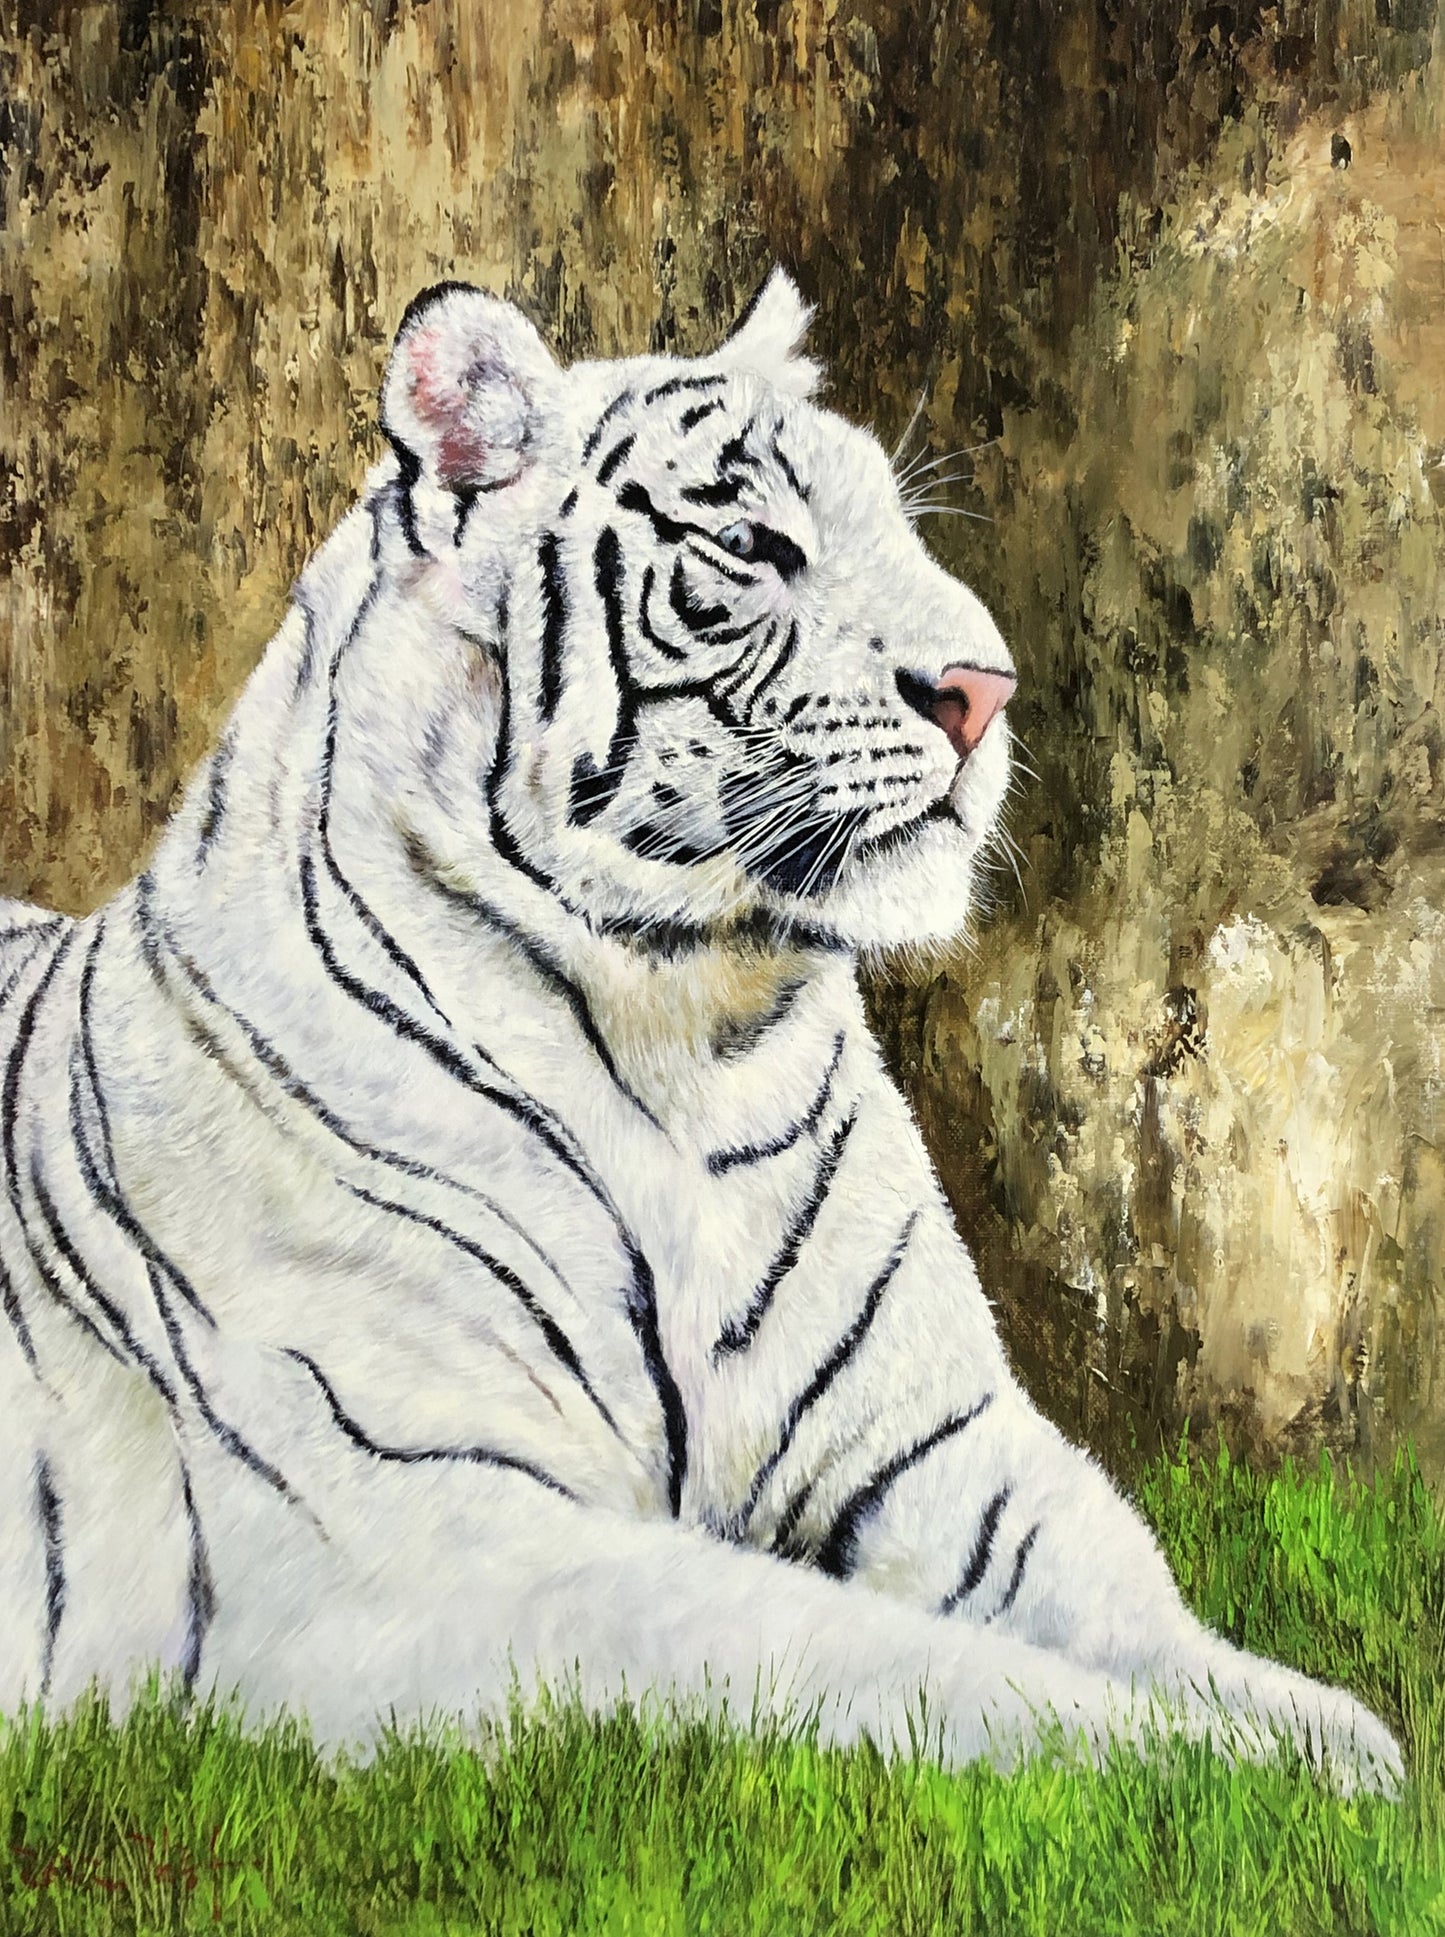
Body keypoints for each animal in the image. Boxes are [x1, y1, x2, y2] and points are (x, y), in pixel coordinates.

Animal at [0, 269, 1401, 1791]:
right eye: (751, 545)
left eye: (901, 531)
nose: (985, 690)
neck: (693, 1038)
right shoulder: (426, 1536)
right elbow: (902, 1671)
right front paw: (1206, 1768)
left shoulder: (937, 1443)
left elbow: (1128, 1589)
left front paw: (1329, 1747)